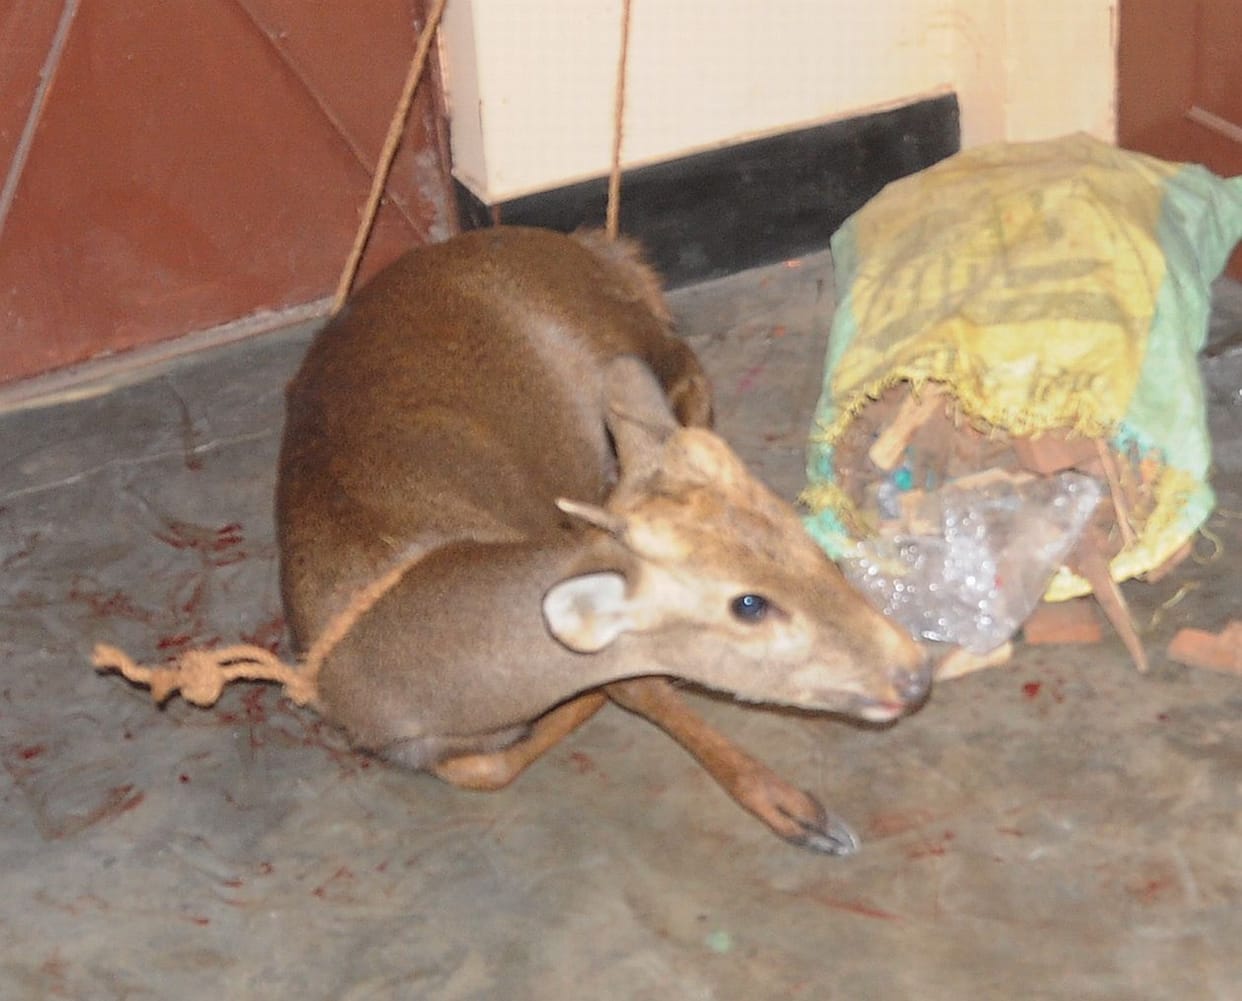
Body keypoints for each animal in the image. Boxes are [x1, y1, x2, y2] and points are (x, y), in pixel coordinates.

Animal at [275, 225, 931, 854]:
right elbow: (492, 764)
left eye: (801, 536)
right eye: (749, 604)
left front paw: (797, 811)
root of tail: (594, 247)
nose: (914, 673)